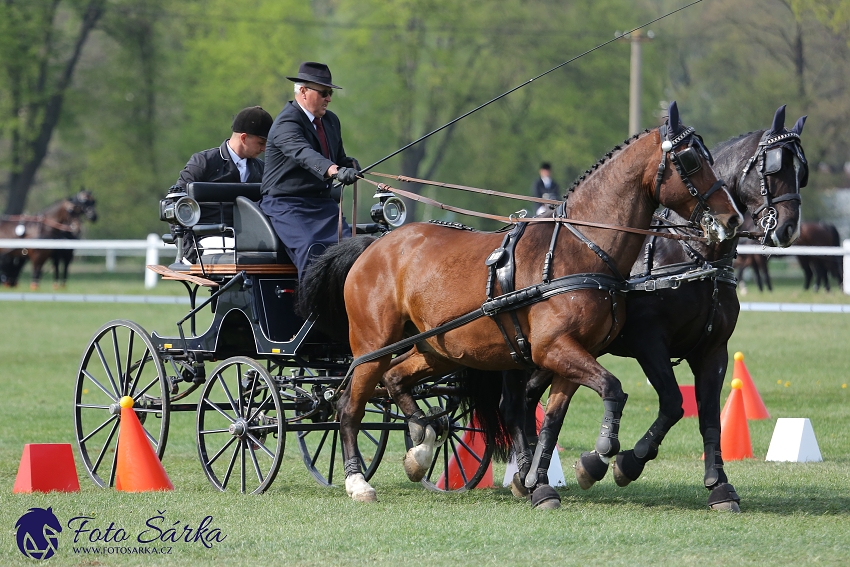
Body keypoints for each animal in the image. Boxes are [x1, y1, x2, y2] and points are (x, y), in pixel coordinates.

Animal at [298, 101, 744, 506]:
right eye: (690, 159)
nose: (733, 218)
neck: (580, 250)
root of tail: (373, 244)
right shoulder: (560, 348)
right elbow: (617, 390)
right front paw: (601, 456)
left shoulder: (573, 355)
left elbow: (554, 419)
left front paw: (542, 483)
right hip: (372, 345)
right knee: (349, 405)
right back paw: (358, 482)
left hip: (438, 348)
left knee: (395, 381)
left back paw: (421, 447)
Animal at [506, 104, 804, 512]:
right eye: (772, 166)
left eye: (801, 170)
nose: (788, 228)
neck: (690, 253)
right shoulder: (649, 342)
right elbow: (675, 403)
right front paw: (617, 463)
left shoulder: (713, 349)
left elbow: (709, 415)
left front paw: (720, 485)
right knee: (517, 396)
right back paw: (530, 475)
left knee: (526, 396)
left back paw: (528, 474)